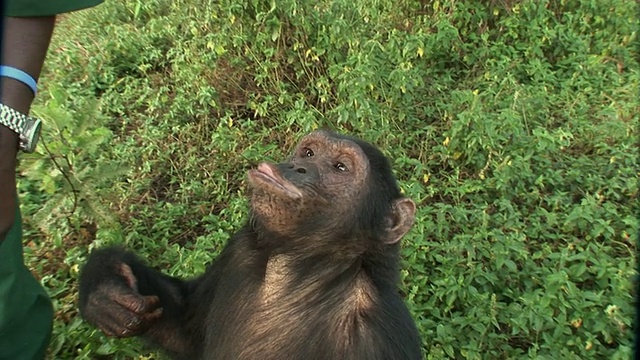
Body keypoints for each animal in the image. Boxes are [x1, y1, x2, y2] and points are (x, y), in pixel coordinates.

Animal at [77, 130, 422, 360]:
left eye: (340, 167)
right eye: (309, 154)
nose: (297, 167)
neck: (296, 272)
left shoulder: (377, 337)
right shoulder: (239, 249)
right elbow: (185, 329)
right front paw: (106, 284)